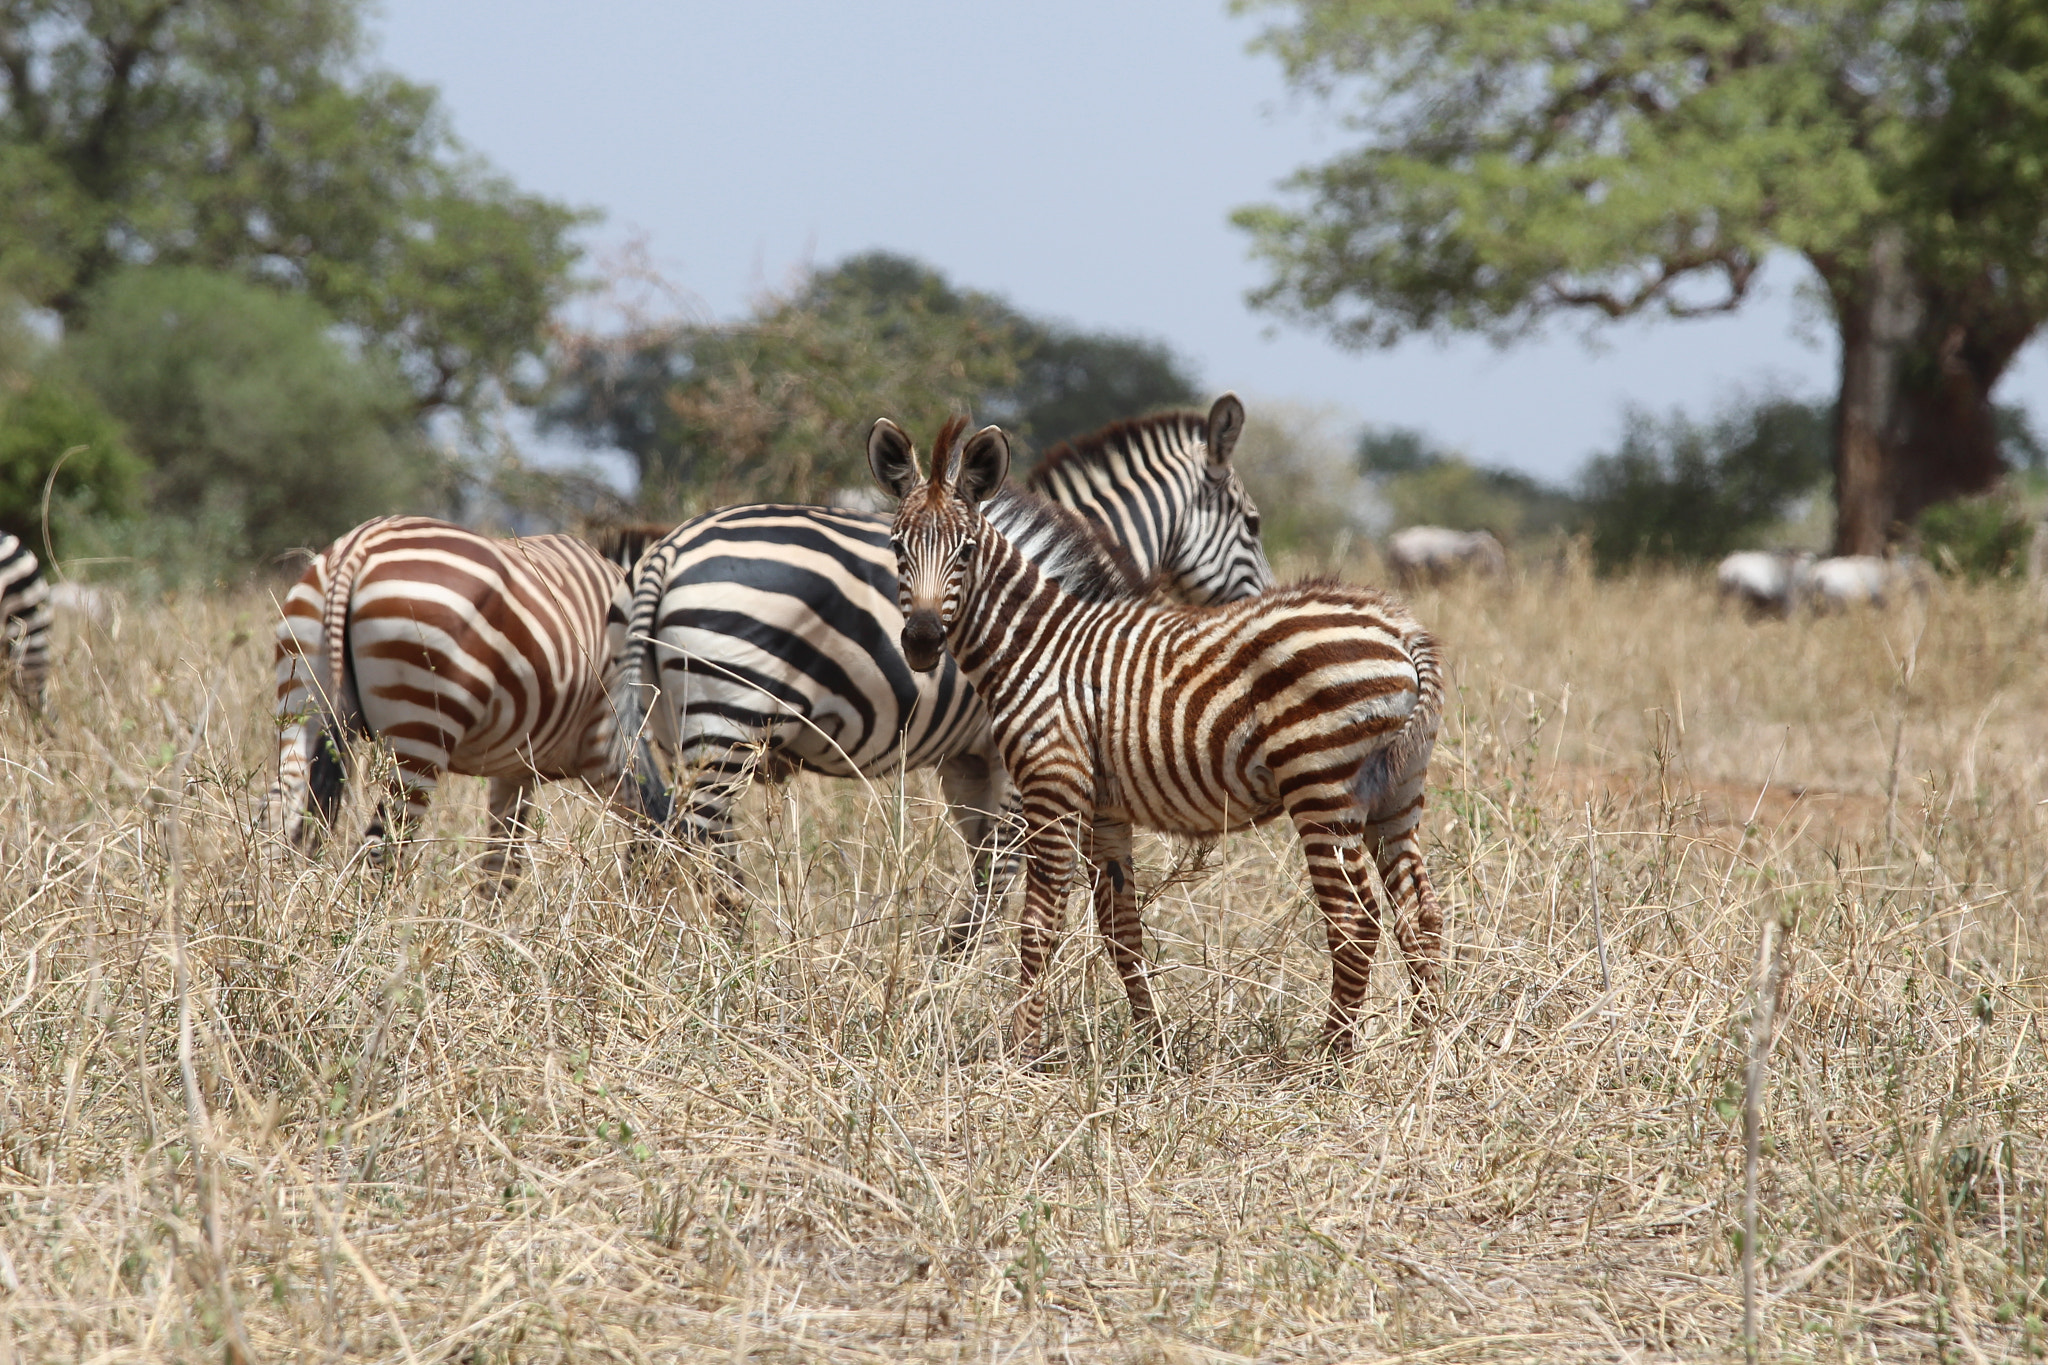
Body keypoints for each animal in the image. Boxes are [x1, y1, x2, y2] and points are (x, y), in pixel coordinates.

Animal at [260, 515, 663, 888]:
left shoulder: (516, 770)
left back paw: (273, 905)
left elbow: (501, 867)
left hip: (300, 699)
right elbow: (658, 826)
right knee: (382, 847)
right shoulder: (610, 749)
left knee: (275, 814)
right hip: (421, 730)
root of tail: (357, 547)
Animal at [614, 394, 1269, 941]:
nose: (1257, 619)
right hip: (729, 724)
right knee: (704, 850)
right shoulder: (1021, 749)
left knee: (657, 843)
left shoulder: (969, 759)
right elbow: (1006, 871)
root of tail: (669, 549)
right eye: (1254, 524)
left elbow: (990, 867)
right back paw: (737, 959)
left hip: (672, 727)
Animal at [872, 421, 1449, 1064]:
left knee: (1353, 921)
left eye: (966, 552)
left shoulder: (1051, 788)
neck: (1038, 646)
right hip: (1397, 790)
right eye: (896, 548)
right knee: (1418, 913)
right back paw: (1432, 1042)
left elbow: (1038, 925)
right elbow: (1120, 929)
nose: (922, 641)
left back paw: (1330, 1059)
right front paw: (1154, 1047)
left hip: (1322, 786)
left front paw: (1023, 1054)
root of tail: (1399, 628)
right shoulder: (1104, 810)